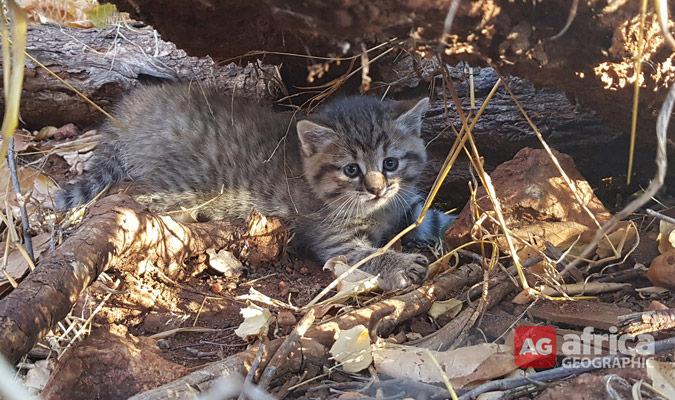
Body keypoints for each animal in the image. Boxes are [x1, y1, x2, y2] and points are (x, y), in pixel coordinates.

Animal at [58, 84, 454, 290]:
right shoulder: (333, 240)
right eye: (351, 169)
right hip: (178, 185)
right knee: (129, 198)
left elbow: (423, 215)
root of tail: (126, 116)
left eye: (391, 163)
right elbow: (366, 254)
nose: (377, 189)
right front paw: (401, 262)